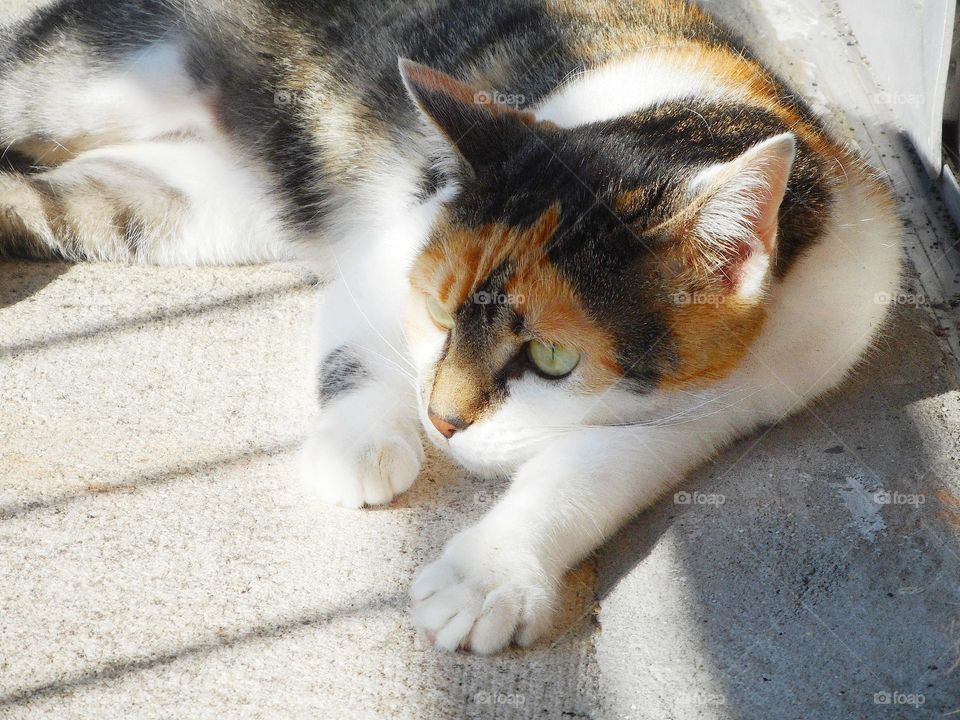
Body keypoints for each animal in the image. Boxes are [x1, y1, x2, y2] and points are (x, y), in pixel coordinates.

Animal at [0, 0, 900, 656]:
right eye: (439, 311)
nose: (442, 422)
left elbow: (595, 465)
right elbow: (359, 342)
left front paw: (487, 577)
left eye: (553, 357)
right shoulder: (388, 247)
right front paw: (359, 445)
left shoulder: (751, 386)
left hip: (186, 203)